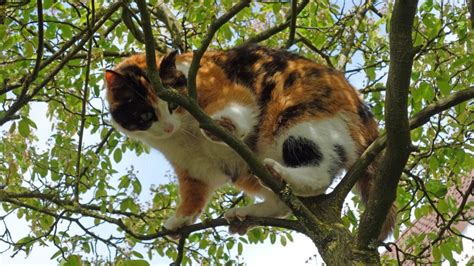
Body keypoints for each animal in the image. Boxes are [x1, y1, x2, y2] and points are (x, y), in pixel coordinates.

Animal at [104, 44, 396, 239]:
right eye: (146, 115)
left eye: (174, 104)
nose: (167, 126)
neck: (184, 134)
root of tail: (358, 100)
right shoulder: (193, 166)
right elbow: (193, 192)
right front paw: (179, 221)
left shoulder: (220, 85)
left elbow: (238, 101)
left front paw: (225, 125)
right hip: (248, 169)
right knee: (282, 203)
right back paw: (244, 215)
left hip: (299, 119)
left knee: (318, 174)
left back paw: (281, 173)